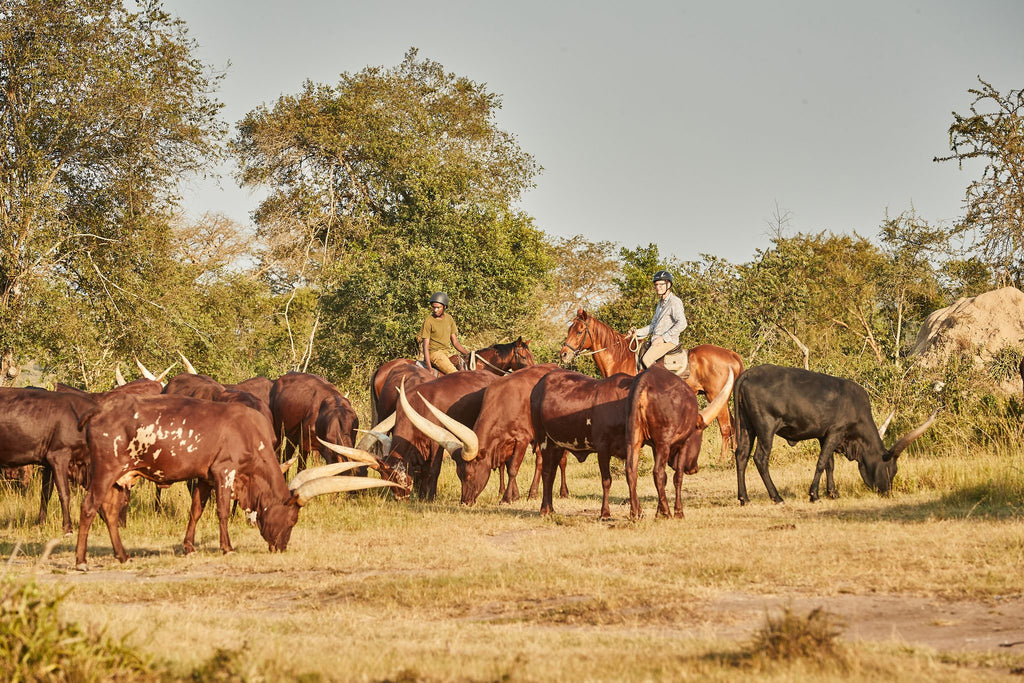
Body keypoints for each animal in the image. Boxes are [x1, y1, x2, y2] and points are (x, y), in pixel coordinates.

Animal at [558, 308, 743, 461]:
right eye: (569, 329)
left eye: (579, 331)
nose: (564, 354)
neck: (621, 358)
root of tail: (730, 354)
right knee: (733, 426)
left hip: (715, 396)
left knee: (726, 428)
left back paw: (721, 461)